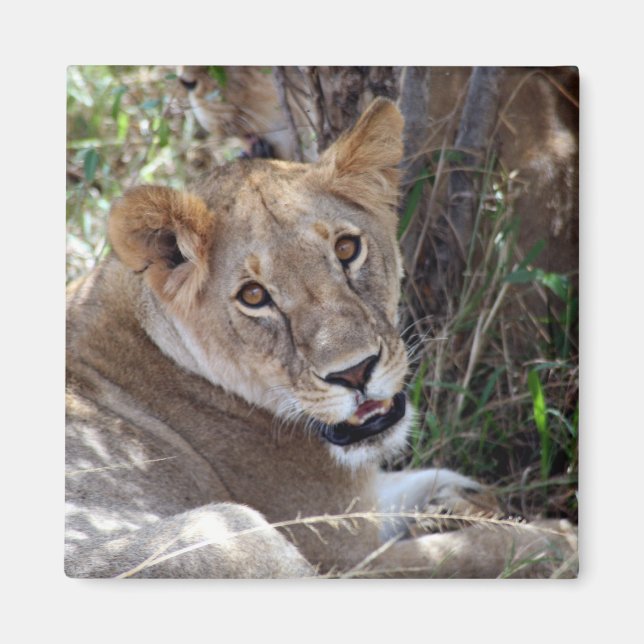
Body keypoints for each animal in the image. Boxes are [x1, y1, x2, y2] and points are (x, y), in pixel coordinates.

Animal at [65, 98, 577, 578]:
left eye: (347, 249)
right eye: (254, 296)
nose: (356, 372)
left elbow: (408, 484)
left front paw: (458, 495)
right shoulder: (342, 552)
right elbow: (471, 552)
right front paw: (557, 541)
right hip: (228, 532)